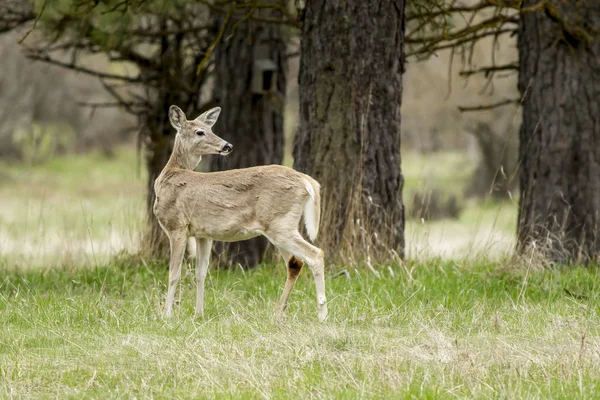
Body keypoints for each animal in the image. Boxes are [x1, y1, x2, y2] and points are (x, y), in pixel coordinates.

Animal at [152, 104, 326, 320]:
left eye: (210, 129)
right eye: (200, 131)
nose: (227, 145)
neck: (170, 173)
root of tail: (306, 180)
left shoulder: (177, 225)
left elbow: (173, 274)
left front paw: (166, 315)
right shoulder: (203, 234)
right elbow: (200, 273)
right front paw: (198, 313)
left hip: (280, 224)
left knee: (315, 255)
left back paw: (322, 314)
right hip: (283, 226)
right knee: (295, 263)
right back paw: (278, 314)